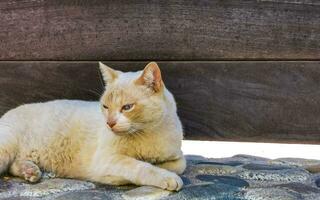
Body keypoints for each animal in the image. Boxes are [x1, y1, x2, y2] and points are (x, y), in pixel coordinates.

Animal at [0, 62, 185, 191]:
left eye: (127, 107)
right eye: (105, 107)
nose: (110, 123)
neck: (146, 133)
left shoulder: (178, 156)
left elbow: (178, 165)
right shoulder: (107, 159)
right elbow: (141, 167)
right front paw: (166, 177)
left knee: (13, 165)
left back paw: (30, 171)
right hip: (6, 147)